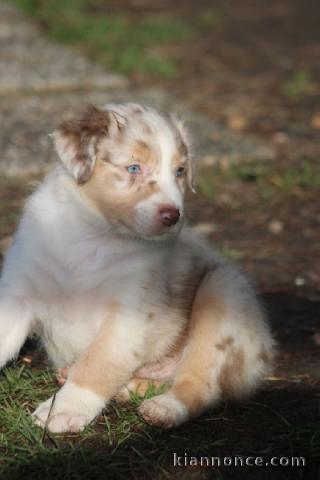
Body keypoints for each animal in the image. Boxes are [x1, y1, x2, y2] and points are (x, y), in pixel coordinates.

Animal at [0, 103, 276, 434]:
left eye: (180, 171)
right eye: (134, 168)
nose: (173, 216)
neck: (93, 234)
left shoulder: (129, 315)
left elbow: (99, 363)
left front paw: (63, 409)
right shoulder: (18, 294)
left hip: (223, 292)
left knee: (199, 384)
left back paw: (163, 408)